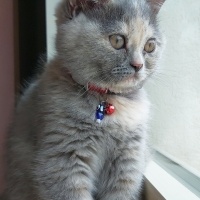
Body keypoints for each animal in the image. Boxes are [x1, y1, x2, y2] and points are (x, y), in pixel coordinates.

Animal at [3, 0, 165, 199]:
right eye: (117, 40)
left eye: (150, 46)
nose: (138, 65)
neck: (107, 100)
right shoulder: (63, 158)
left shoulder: (128, 163)